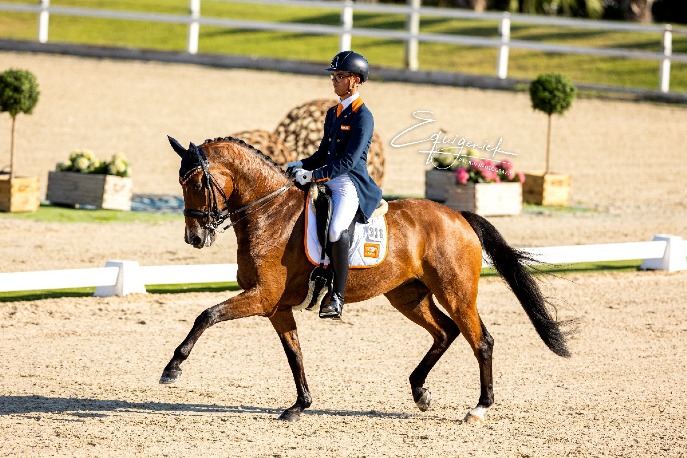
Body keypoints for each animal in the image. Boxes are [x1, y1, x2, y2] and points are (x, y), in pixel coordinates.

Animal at [160, 135, 568, 422]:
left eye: (196, 183)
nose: (194, 238)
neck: (271, 214)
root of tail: (458, 217)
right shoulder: (276, 305)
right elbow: (294, 353)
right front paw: (299, 405)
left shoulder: (261, 296)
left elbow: (206, 315)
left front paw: (172, 369)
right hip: (408, 296)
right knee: (445, 332)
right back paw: (420, 392)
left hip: (456, 293)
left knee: (481, 340)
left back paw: (479, 408)